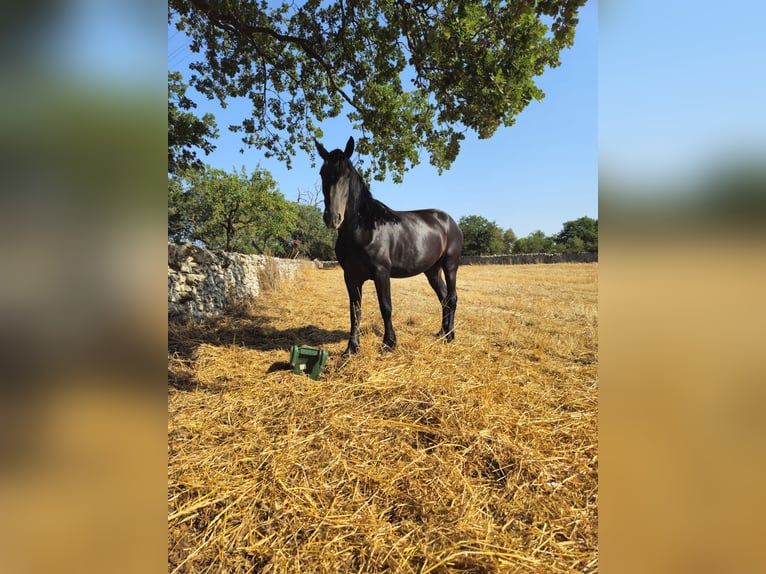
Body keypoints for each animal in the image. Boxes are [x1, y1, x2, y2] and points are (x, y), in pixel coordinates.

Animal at [316, 137, 464, 358]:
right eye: (322, 173)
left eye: (347, 174)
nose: (333, 218)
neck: (364, 229)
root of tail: (450, 221)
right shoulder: (350, 277)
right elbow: (354, 311)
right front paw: (351, 348)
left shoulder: (381, 273)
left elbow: (385, 307)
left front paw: (389, 343)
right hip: (432, 270)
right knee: (444, 298)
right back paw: (441, 332)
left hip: (450, 265)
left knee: (452, 298)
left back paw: (450, 336)